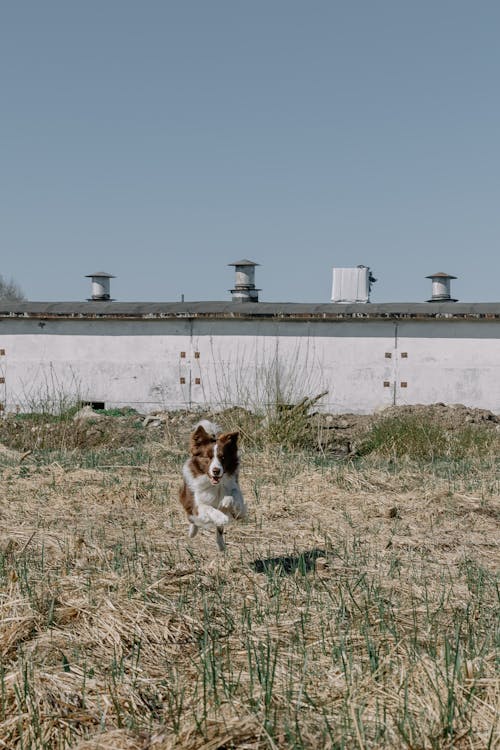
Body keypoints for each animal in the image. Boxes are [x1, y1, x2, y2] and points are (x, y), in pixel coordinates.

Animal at [182, 424, 248, 552]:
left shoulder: (237, 494)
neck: (215, 485)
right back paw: (192, 532)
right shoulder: (197, 504)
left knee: (219, 531)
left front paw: (229, 504)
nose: (216, 471)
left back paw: (221, 545)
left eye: (223, 457)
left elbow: (234, 499)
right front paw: (221, 517)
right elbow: (208, 508)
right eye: (208, 457)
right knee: (191, 518)